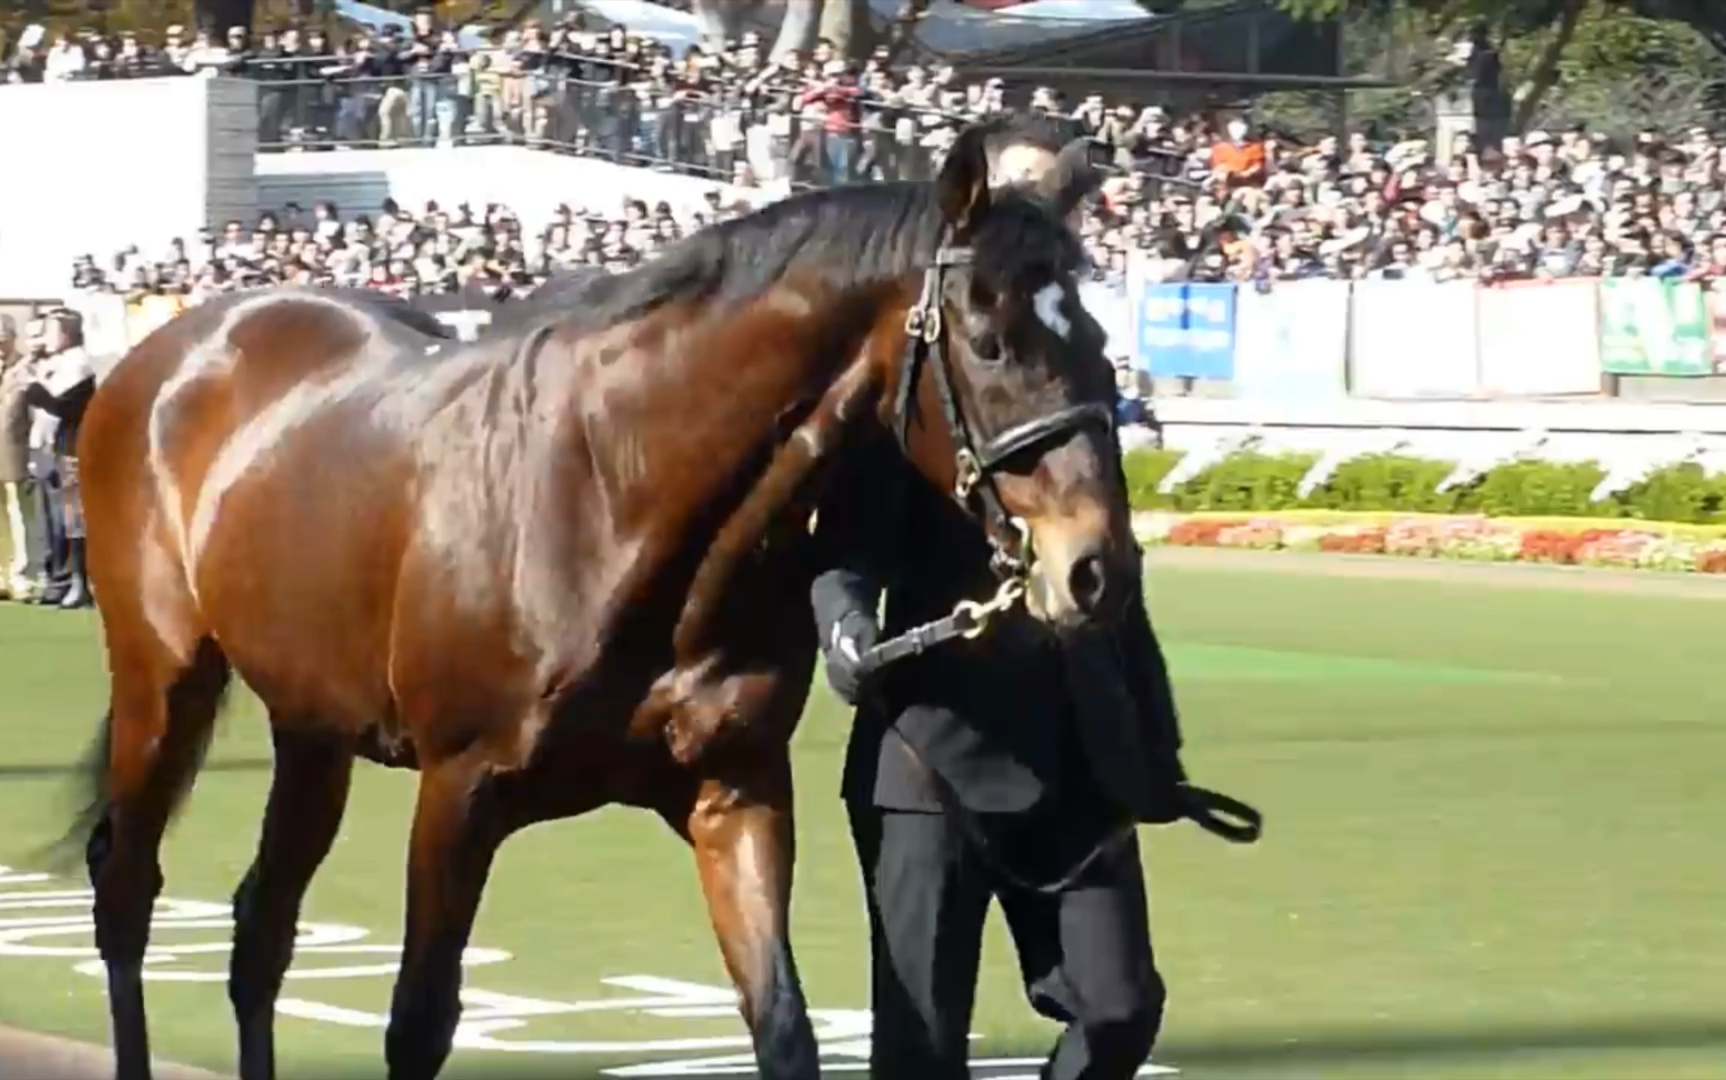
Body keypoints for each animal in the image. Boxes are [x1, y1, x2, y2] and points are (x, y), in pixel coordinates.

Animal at [63, 117, 1132, 1076]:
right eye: (989, 341)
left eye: (1098, 336)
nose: (1096, 566)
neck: (618, 497)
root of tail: (174, 346)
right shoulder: (458, 792)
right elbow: (418, 1026)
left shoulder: (734, 790)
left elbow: (784, 1027)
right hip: (162, 676)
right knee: (125, 891)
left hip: (312, 722)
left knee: (260, 929)